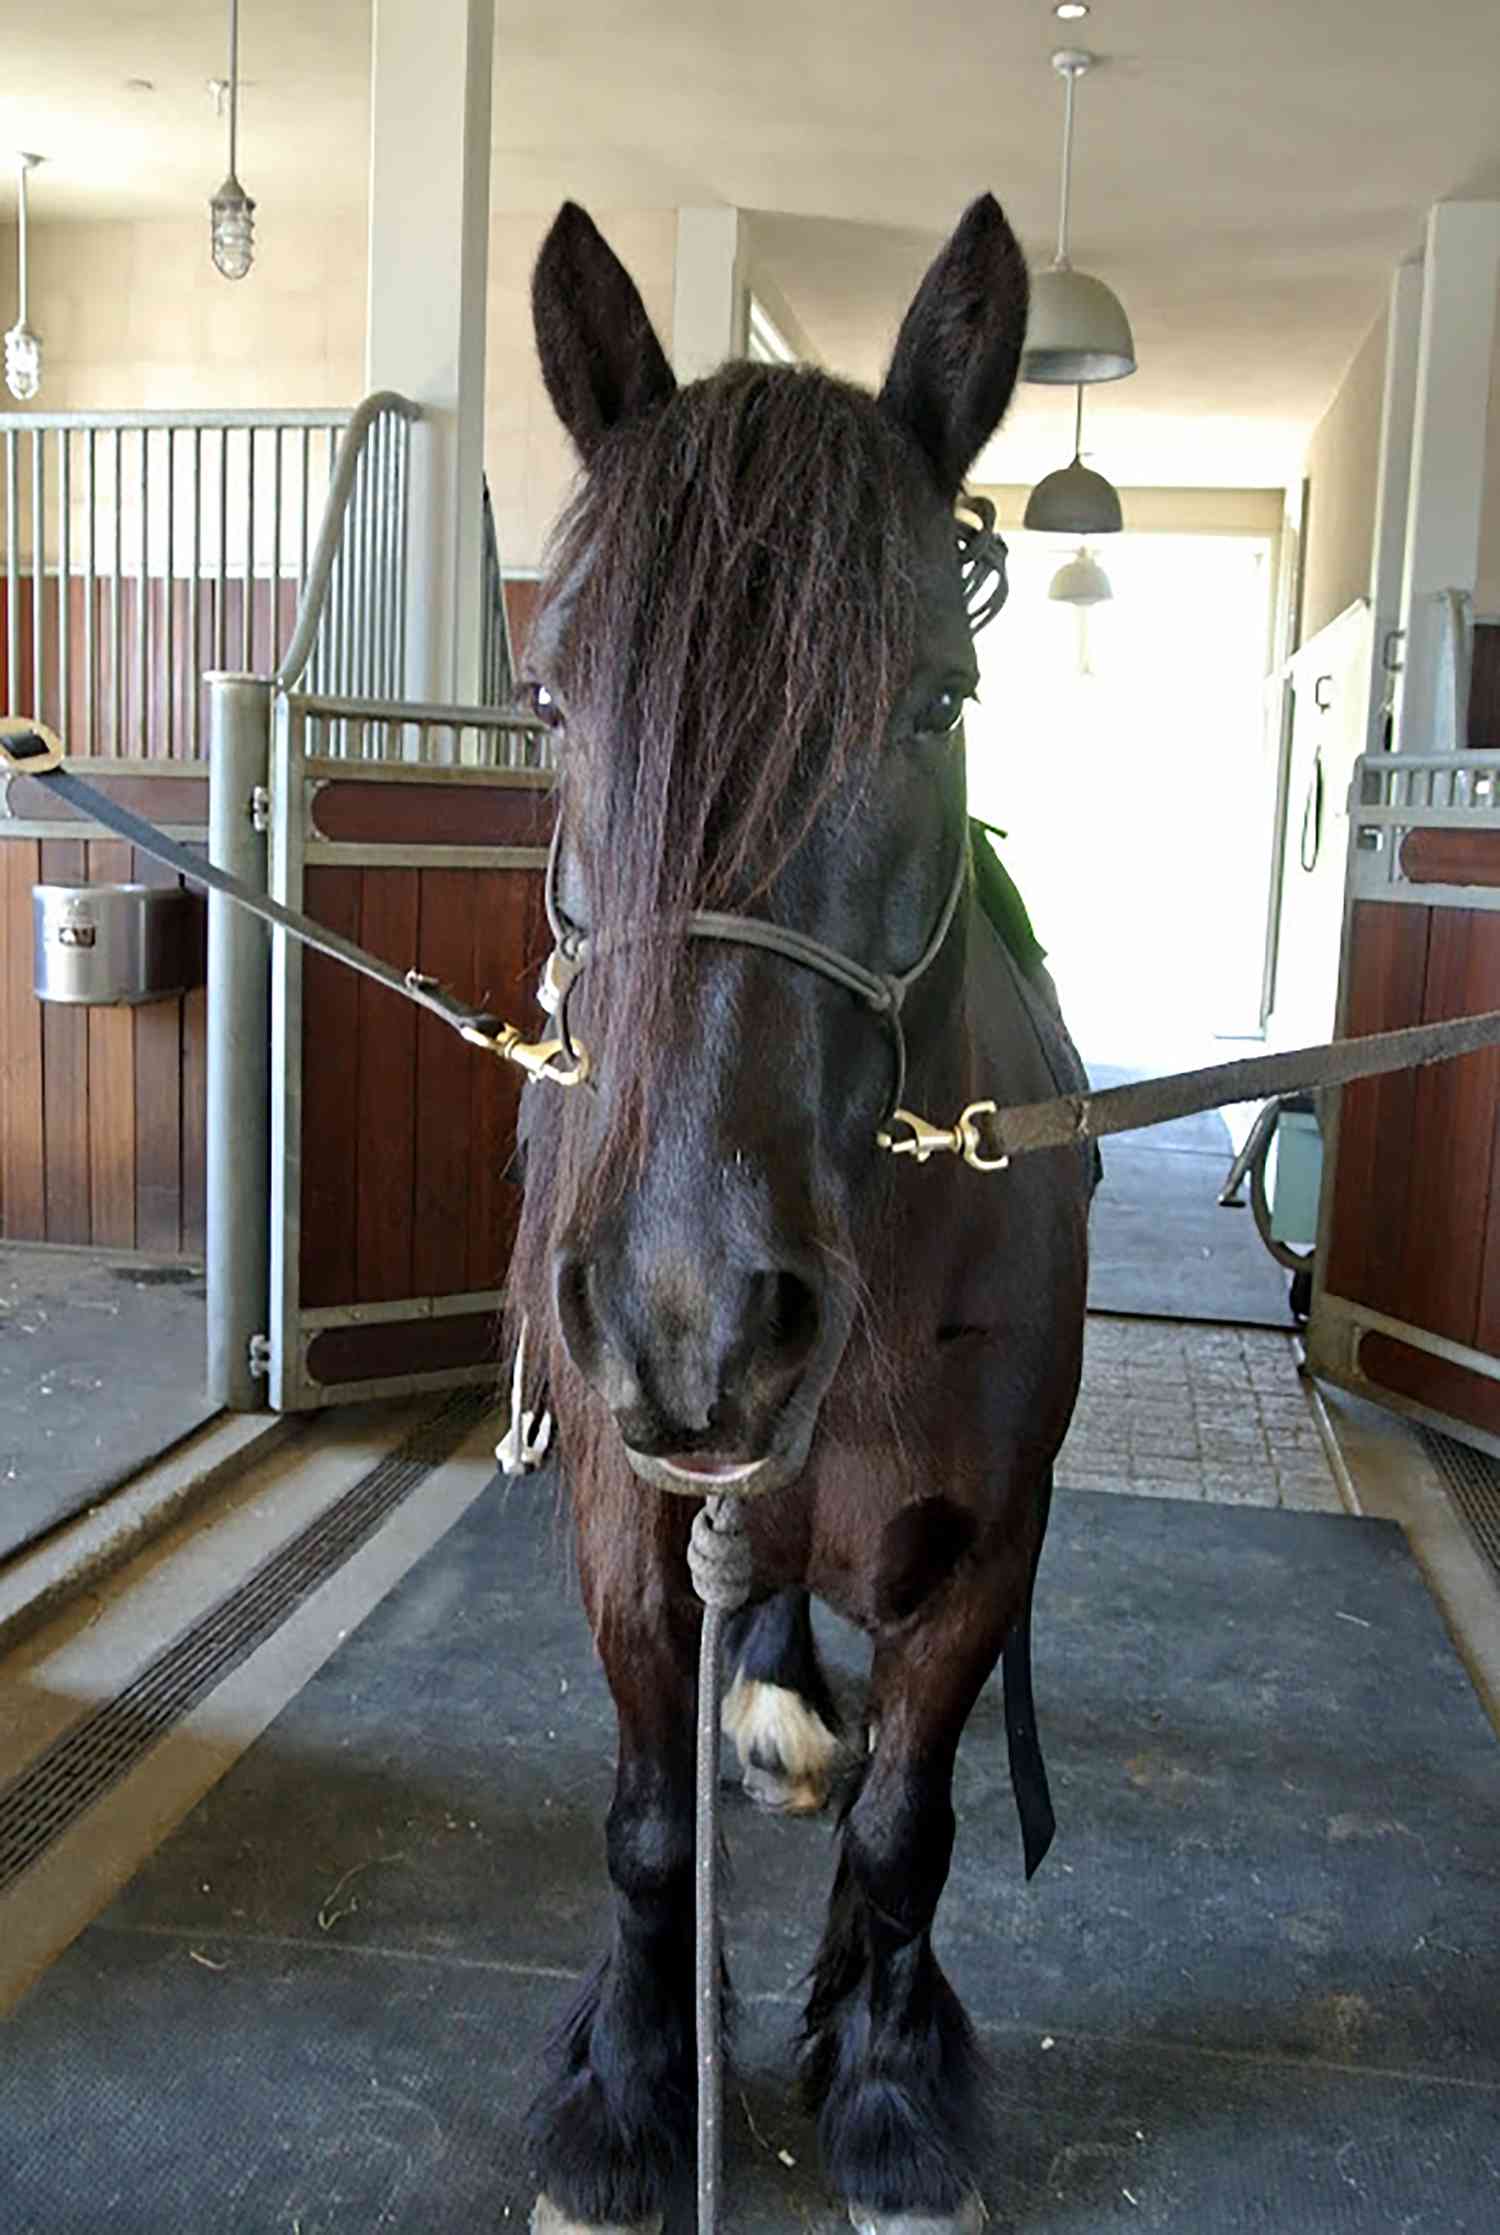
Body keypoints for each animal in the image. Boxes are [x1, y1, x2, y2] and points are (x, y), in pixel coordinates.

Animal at [509, 194, 1095, 2235]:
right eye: (550, 695)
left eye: (941, 699)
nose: (691, 1319)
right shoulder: (621, 1519)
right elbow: (636, 1824)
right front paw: (626, 2096)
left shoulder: (986, 1540)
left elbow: (915, 1824)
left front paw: (893, 2093)